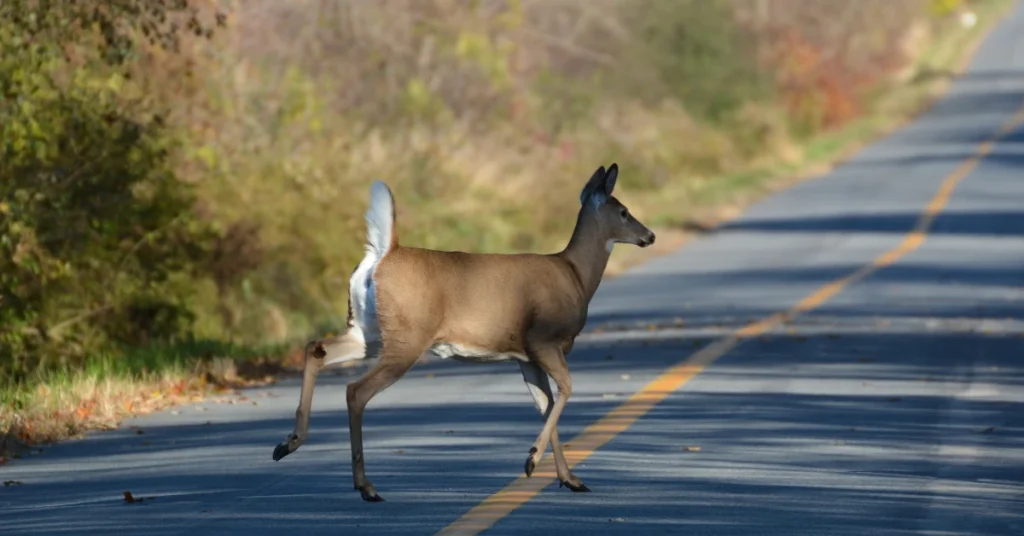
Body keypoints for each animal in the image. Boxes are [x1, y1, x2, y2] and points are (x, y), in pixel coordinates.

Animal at [272, 163, 655, 504]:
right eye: (623, 212)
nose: (649, 235)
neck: (575, 274)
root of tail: (384, 254)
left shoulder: (525, 356)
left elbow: (545, 404)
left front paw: (569, 479)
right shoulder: (543, 339)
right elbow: (566, 390)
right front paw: (532, 460)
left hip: (368, 332)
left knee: (316, 348)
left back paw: (288, 443)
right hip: (407, 337)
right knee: (356, 390)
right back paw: (365, 487)